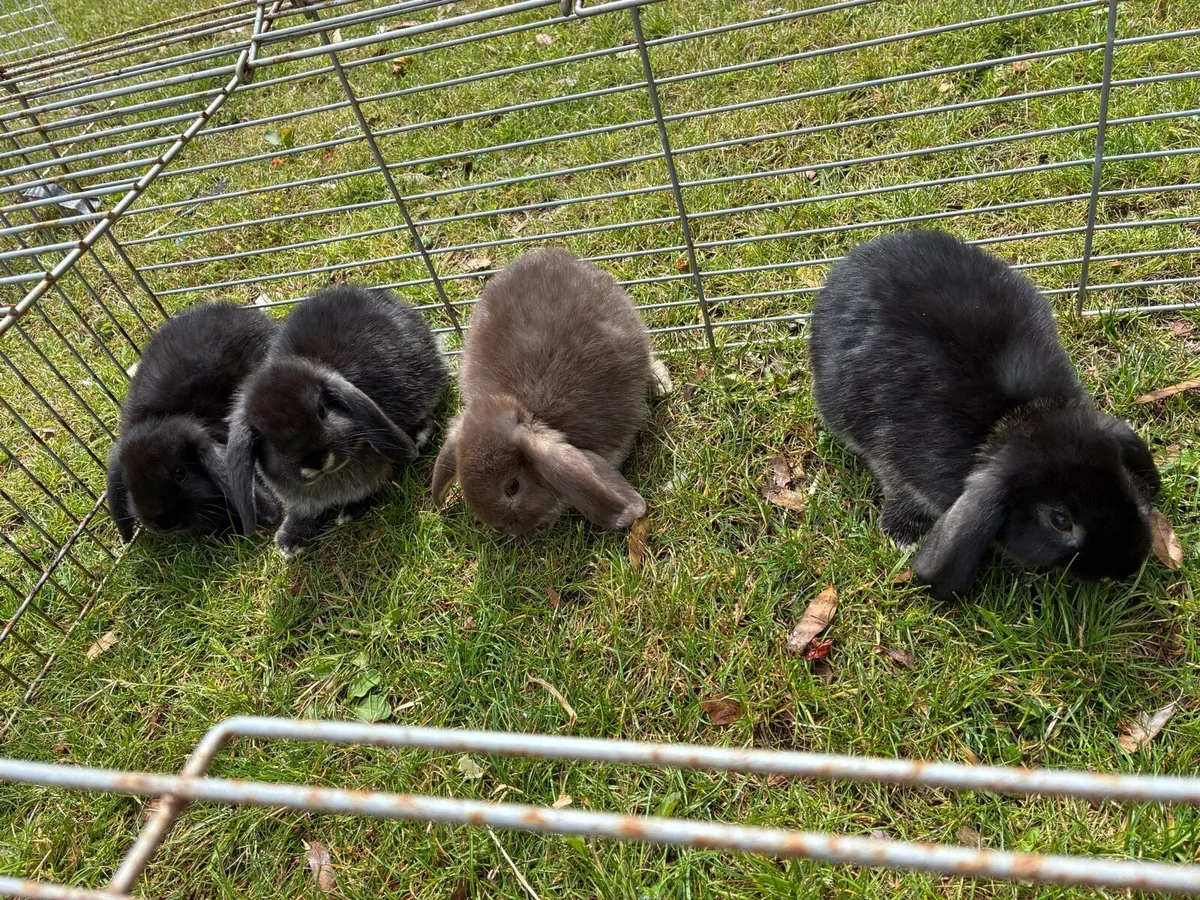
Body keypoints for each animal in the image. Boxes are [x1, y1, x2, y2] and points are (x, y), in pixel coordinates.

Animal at [226, 285, 448, 558]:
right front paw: (289, 541)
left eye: (322, 411)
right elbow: (302, 512)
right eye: (268, 437)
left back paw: (418, 436)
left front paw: (351, 511)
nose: (317, 461)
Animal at [808, 229, 1161, 600]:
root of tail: (861, 255)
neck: (1012, 419)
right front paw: (903, 533)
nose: (1127, 565)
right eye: (1060, 520)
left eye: (1126, 481)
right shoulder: (893, 456)